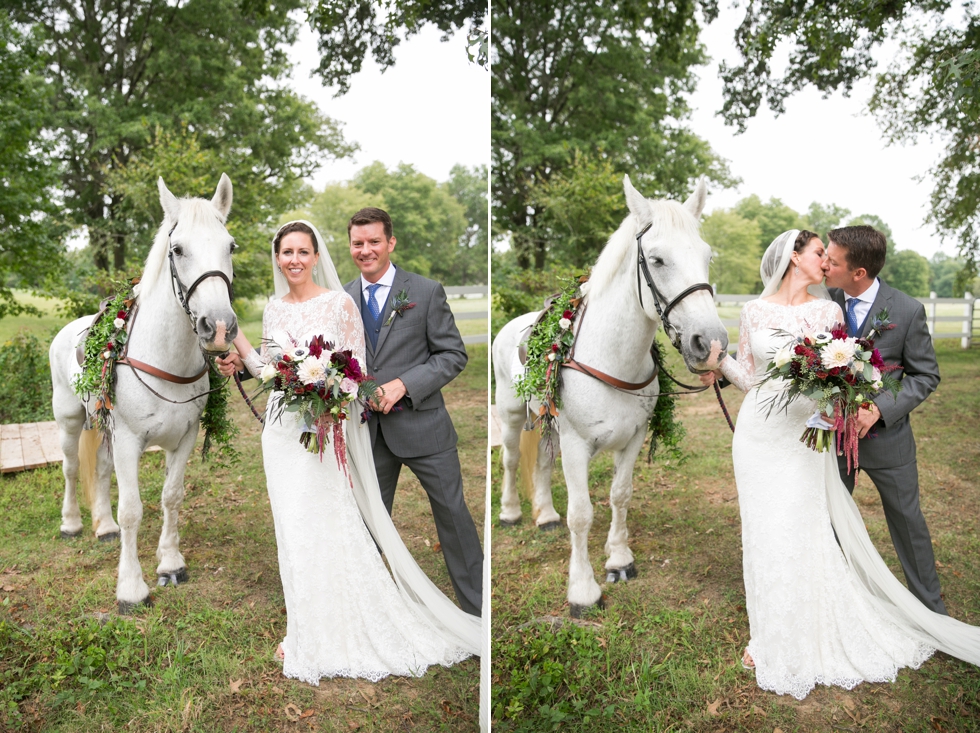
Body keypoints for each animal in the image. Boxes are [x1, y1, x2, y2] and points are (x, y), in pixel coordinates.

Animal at [50, 176, 239, 612]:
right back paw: (72, 523)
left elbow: (172, 496)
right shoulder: (129, 441)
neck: (165, 360)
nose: (219, 328)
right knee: (71, 468)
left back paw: (104, 527)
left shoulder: (184, 439)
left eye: (230, 246)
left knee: (100, 471)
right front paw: (131, 587)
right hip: (69, 420)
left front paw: (170, 563)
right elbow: (133, 510)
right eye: (178, 249)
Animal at [494, 174, 732, 616]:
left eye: (707, 256)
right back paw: (510, 512)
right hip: (510, 414)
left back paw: (545, 516)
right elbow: (582, 514)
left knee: (542, 465)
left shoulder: (633, 438)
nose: (710, 345)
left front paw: (619, 560)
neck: (612, 361)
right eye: (656, 260)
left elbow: (620, 496)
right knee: (512, 459)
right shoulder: (576, 444)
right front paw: (582, 590)